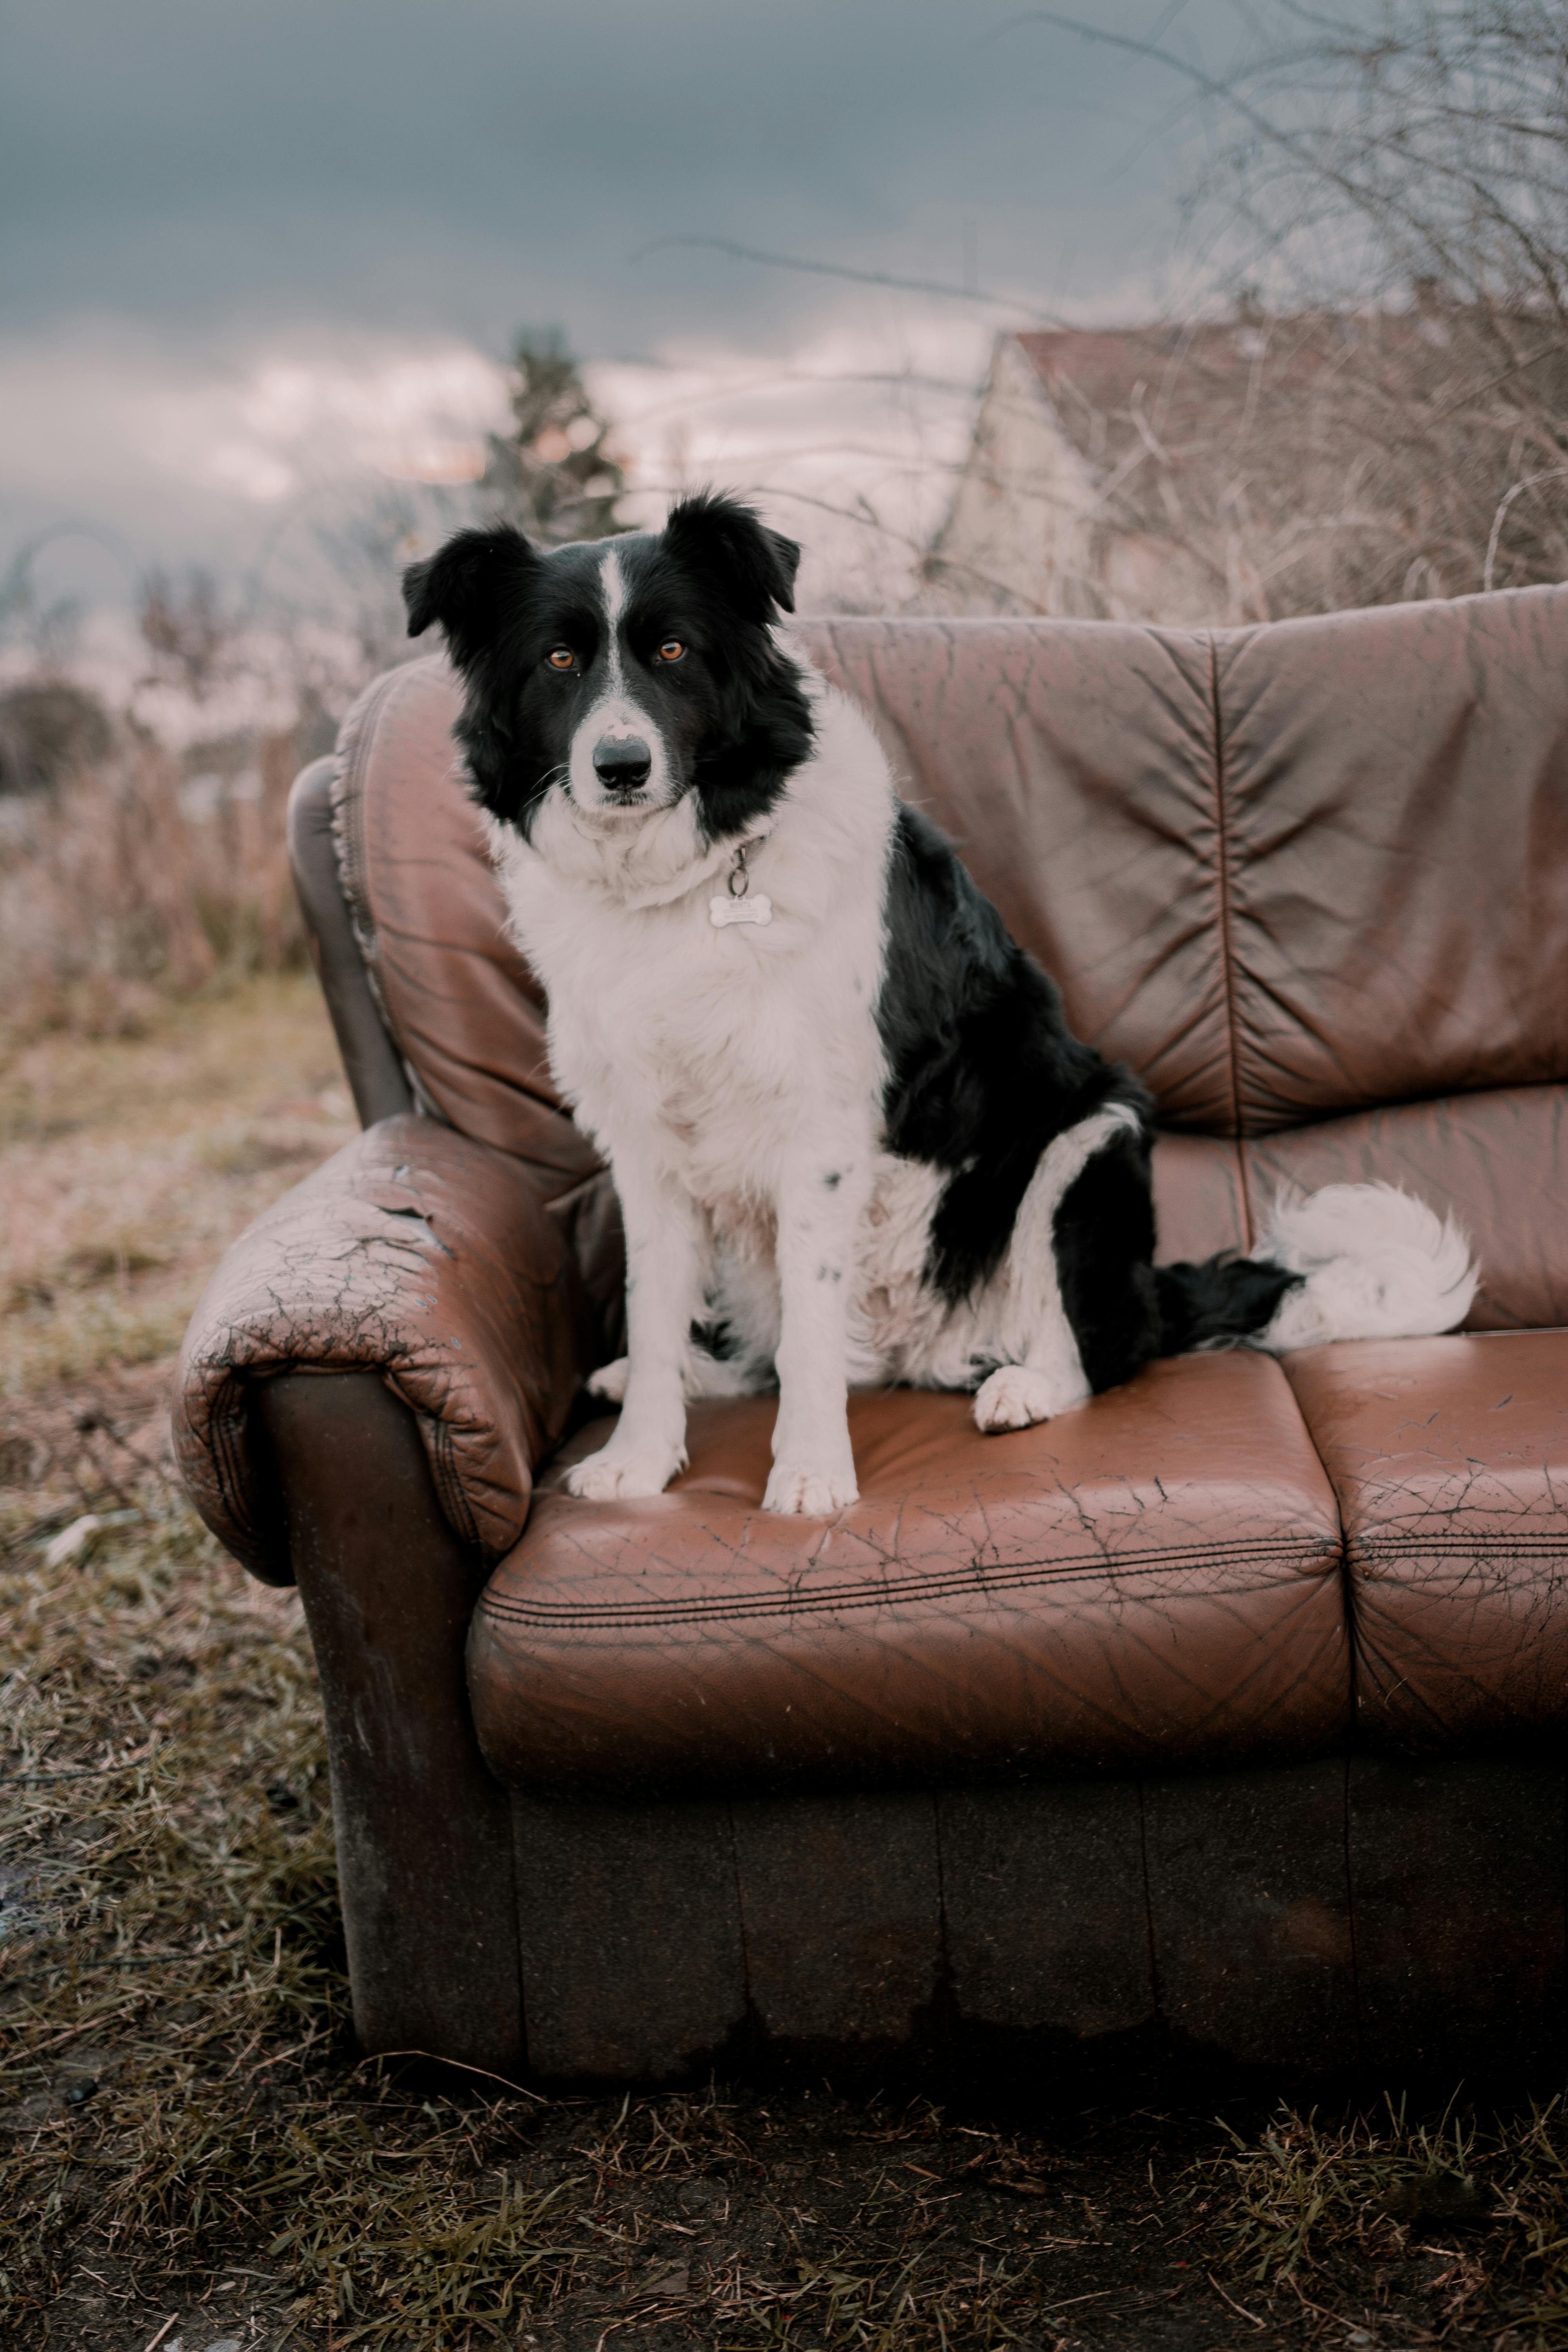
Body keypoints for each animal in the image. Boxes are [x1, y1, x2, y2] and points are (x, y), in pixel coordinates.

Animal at [402, 501, 1476, 1524]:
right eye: (558, 661)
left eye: (672, 651)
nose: (620, 766)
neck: (687, 883)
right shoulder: (645, 1146)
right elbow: (656, 1309)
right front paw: (638, 1457)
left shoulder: (821, 1133)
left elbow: (810, 1332)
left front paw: (809, 1476)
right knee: (774, 1352)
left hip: (1088, 1144)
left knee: (1098, 1351)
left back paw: (1022, 1386)